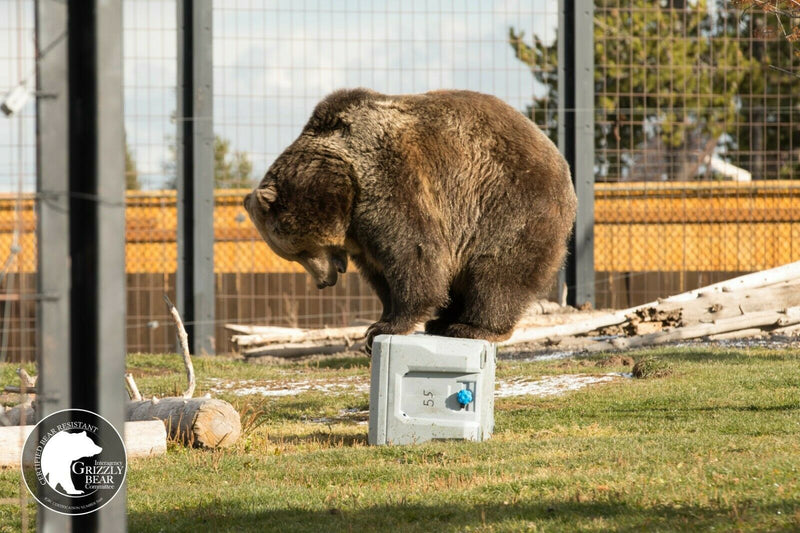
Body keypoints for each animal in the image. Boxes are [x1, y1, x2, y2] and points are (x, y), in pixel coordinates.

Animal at [244, 88, 576, 350]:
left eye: (299, 251)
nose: (325, 281)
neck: (347, 184)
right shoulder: (361, 233)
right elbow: (380, 272)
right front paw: (382, 319)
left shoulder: (390, 182)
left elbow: (414, 252)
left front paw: (384, 327)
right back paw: (444, 321)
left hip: (507, 204)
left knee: (496, 270)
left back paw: (473, 326)